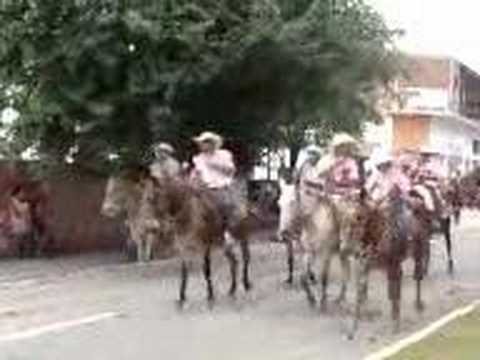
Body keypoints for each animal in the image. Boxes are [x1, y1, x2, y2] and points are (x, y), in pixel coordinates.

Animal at [145, 177, 253, 306]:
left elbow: (206, 270)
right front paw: (182, 296)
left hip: (241, 236)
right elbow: (184, 272)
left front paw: (210, 295)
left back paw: (246, 284)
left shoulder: (205, 246)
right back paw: (232, 288)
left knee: (246, 257)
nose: (151, 228)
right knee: (233, 261)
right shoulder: (183, 248)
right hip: (223, 243)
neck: (187, 213)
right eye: (147, 199)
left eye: (154, 199)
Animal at [340, 193, 430, 338]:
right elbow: (360, 296)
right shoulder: (363, 267)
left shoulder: (394, 266)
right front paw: (353, 329)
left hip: (419, 252)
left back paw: (418, 305)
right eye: (343, 215)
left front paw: (396, 324)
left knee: (417, 277)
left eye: (359, 216)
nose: (344, 248)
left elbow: (395, 295)